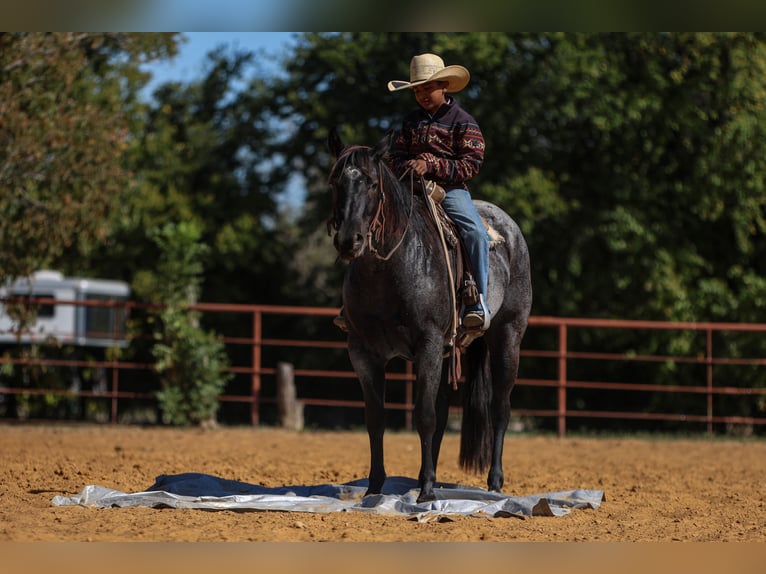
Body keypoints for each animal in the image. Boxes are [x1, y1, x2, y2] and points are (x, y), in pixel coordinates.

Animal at [326, 127, 536, 504]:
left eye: (372, 183)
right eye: (336, 181)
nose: (350, 240)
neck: (391, 268)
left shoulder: (428, 344)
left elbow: (423, 416)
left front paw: (424, 492)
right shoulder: (363, 352)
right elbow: (376, 419)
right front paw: (375, 488)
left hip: (508, 337)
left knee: (500, 408)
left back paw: (493, 482)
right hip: (449, 352)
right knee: (442, 414)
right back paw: (435, 479)